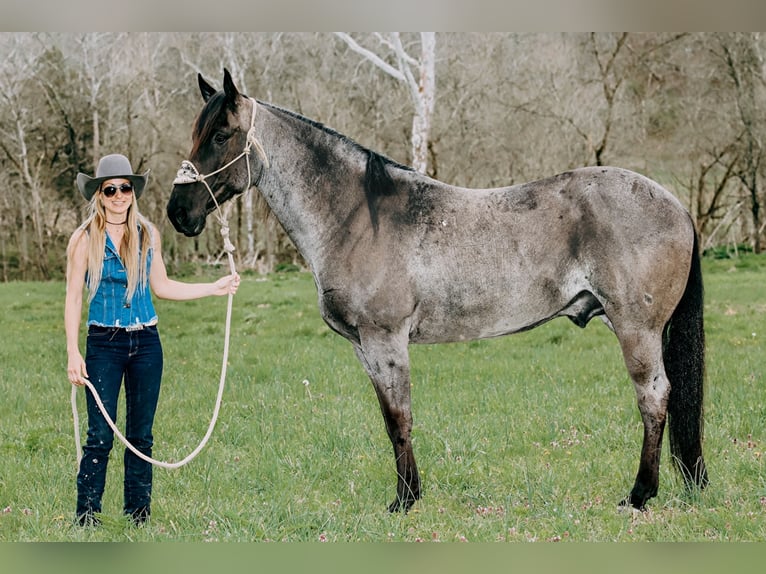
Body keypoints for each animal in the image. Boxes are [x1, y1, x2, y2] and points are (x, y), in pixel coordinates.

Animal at [168, 70, 708, 516]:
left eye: (220, 135)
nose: (178, 212)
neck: (358, 218)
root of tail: (677, 205)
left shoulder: (386, 340)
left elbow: (399, 418)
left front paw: (404, 501)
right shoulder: (365, 348)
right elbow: (391, 420)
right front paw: (410, 494)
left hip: (636, 330)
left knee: (653, 398)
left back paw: (639, 495)